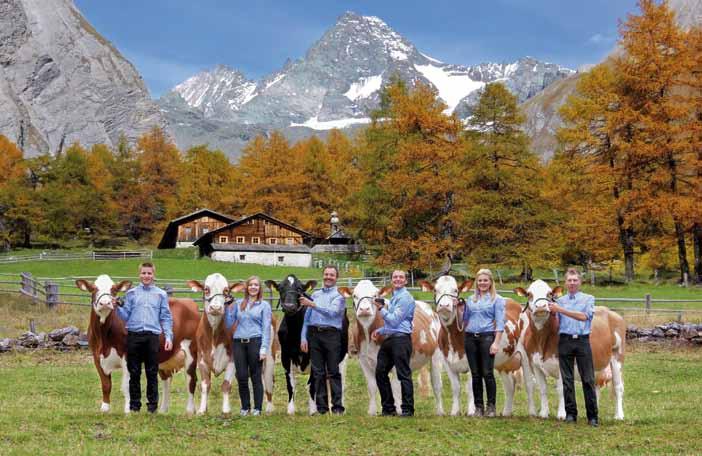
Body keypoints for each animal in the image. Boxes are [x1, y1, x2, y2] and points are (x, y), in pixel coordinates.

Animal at [75, 274, 199, 414]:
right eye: (93, 289)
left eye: (114, 290)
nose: (105, 303)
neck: (104, 340)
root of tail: (189, 301)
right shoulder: (96, 356)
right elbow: (106, 384)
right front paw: (105, 408)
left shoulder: (127, 356)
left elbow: (127, 385)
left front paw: (128, 410)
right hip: (164, 357)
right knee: (166, 379)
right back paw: (162, 409)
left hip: (191, 351)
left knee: (191, 379)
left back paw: (190, 410)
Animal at [187, 272, 280, 416]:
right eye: (206, 289)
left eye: (226, 290)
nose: (215, 308)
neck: (214, 336)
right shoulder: (202, 360)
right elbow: (205, 385)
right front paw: (202, 410)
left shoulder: (233, 360)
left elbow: (226, 385)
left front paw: (226, 410)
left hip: (269, 356)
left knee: (268, 380)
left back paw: (269, 408)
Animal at [340, 280, 446, 416]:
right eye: (354, 295)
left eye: (375, 295)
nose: (364, 309)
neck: (369, 337)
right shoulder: (363, 360)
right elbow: (372, 386)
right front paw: (372, 411)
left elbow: (395, 386)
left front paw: (400, 410)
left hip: (436, 355)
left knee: (437, 384)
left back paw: (439, 411)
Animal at [420, 276, 532, 416]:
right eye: (435, 290)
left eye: (455, 290)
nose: (444, 306)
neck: (453, 339)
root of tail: (514, 303)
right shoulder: (447, 362)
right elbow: (456, 387)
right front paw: (455, 411)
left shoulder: (472, 362)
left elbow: (471, 387)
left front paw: (472, 411)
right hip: (504, 362)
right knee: (510, 386)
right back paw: (506, 413)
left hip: (526, 357)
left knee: (529, 384)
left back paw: (533, 412)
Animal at [516, 278, 628, 420]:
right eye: (529, 294)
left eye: (549, 293)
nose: (541, 306)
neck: (542, 341)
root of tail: (611, 312)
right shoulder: (534, 364)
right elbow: (542, 389)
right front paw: (543, 413)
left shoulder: (561, 363)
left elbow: (561, 389)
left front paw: (562, 414)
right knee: (595, 386)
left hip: (617, 356)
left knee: (618, 387)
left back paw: (619, 415)